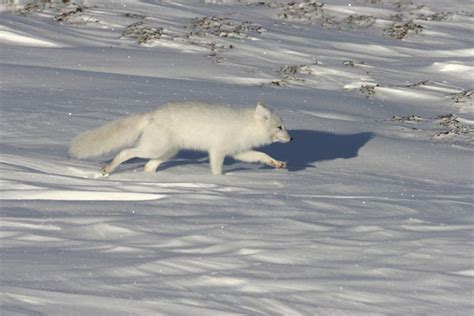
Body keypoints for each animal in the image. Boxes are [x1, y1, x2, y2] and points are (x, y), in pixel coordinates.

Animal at [69, 101, 292, 175]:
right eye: (280, 127)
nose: (291, 140)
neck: (245, 127)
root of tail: (151, 114)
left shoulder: (239, 151)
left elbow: (261, 155)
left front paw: (278, 163)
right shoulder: (218, 151)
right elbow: (216, 169)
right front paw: (220, 181)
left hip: (168, 151)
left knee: (149, 165)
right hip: (155, 148)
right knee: (126, 152)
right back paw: (107, 169)